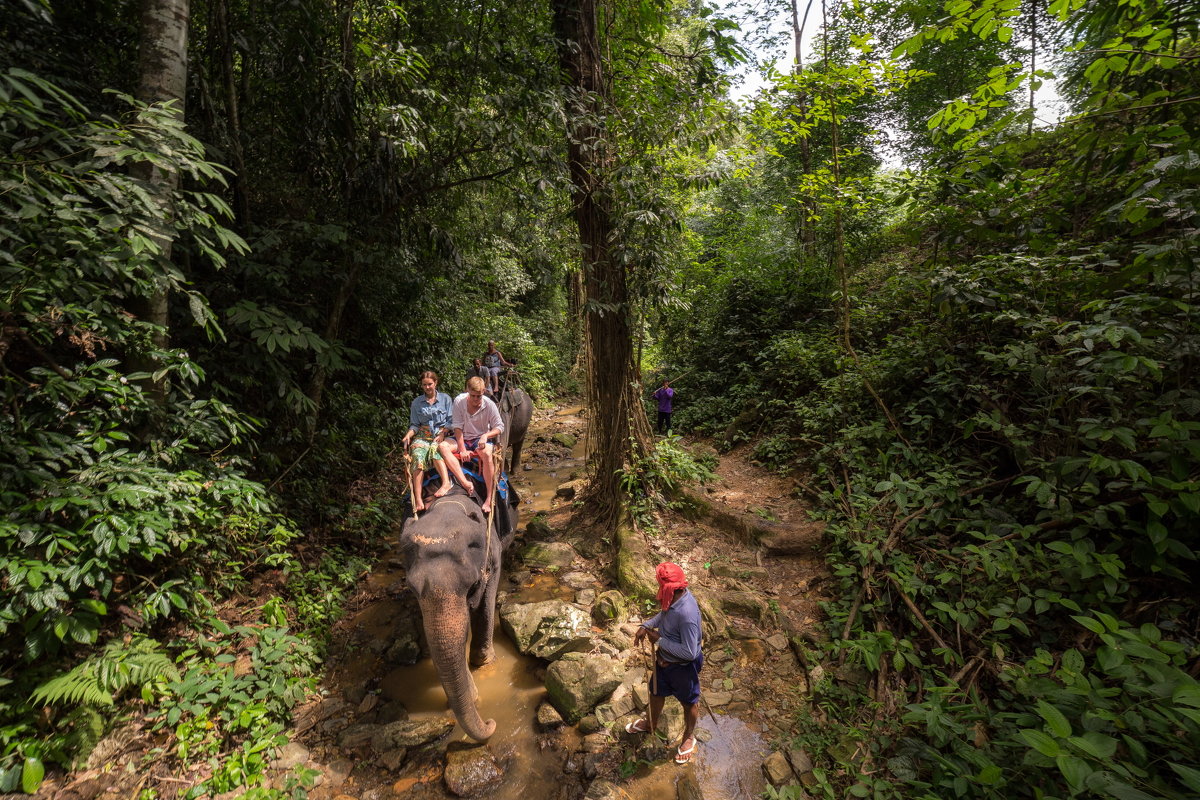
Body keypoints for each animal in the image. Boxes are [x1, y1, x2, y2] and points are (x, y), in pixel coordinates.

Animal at [400, 383, 532, 743]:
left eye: (472, 584)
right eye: (412, 590)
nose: (491, 723)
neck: (450, 504)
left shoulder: (492, 552)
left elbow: (488, 597)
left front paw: (483, 662)